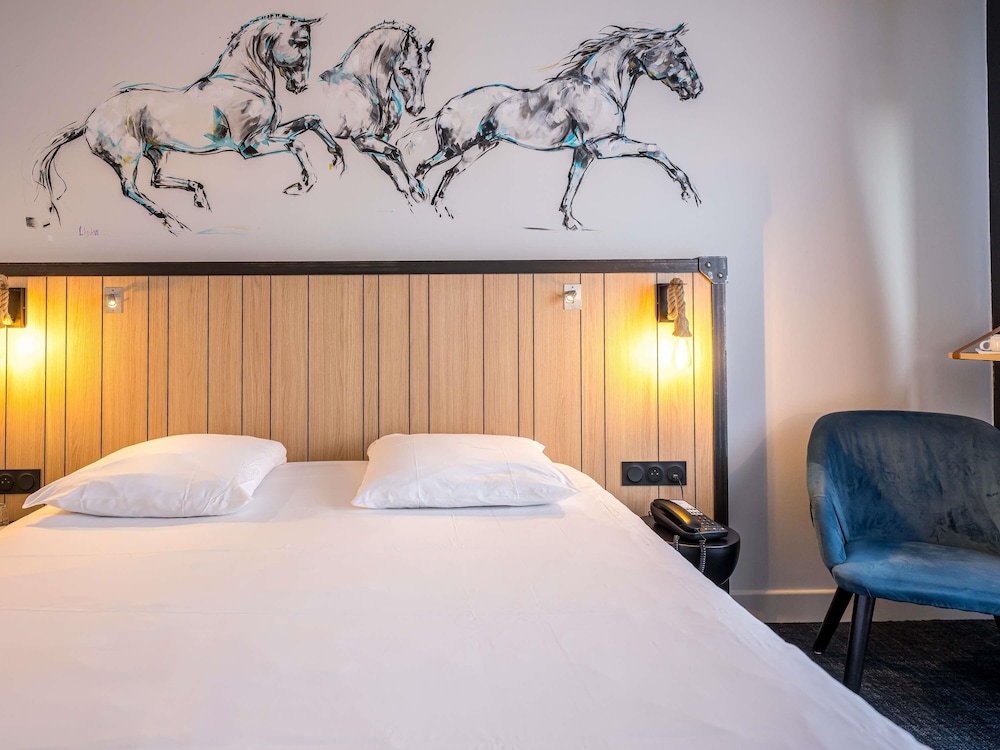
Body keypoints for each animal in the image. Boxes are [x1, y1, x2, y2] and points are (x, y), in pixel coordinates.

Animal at [32, 14, 345, 234]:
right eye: (300, 43)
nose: (300, 86)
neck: (243, 82)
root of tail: (89, 122)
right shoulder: (251, 146)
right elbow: (297, 143)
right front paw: (302, 185)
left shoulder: (268, 134)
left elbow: (311, 121)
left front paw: (337, 159)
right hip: (128, 159)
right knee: (131, 189)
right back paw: (170, 219)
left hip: (157, 151)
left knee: (156, 180)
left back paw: (199, 198)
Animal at [317, 22, 433, 204]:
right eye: (405, 69)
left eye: (427, 70)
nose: (417, 108)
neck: (364, 86)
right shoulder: (361, 139)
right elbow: (395, 153)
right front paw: (417, 190)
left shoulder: (375, 139)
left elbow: (388, 163)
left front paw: (412, 190)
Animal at [409, 25, 703, 230]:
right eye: (680, 54)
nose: (696, 89)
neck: (600, 88)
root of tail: (447, 107)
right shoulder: (604, 144)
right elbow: (654, 149)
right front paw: (690, 194)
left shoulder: (585, 152)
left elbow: (573, 182)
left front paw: (571, 222)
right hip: (457, 147)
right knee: (429, 169)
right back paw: (427, 203)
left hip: (478, 148)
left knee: (440, 172)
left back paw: (434, 207)